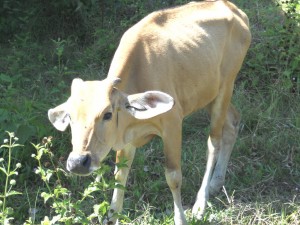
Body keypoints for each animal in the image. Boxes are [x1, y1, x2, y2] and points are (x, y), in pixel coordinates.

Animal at [48, 0, 251, 224]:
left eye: (108, 114)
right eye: (70, 117)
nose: (78, 162)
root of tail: (233, 9)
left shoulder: (172, 125)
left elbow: (173, 177)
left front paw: (181, 217)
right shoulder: (127, 139)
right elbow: (120, 176)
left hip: (226, 86)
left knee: (213, 142)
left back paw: (201, 202)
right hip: (208, 94)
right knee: (232, 122)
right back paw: (216, 182)